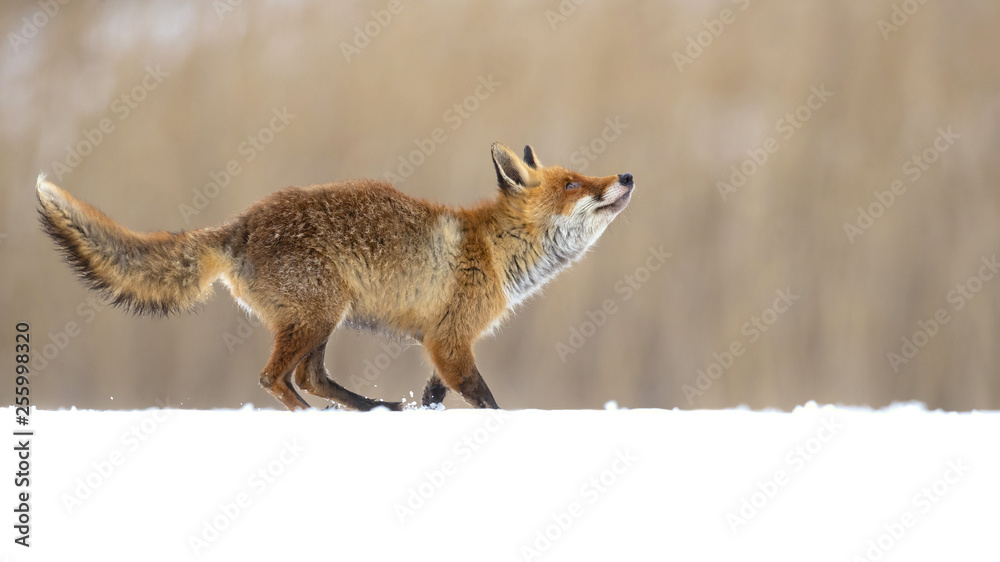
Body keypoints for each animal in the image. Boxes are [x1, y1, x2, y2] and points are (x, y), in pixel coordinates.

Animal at [36, 142, 634, 411]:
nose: (626, 175)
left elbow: (436, 395)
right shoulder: (451, 338)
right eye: (573, 184)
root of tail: (240, 223)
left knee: (310, 377)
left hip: (323, 320)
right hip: (319, 315)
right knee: (277, 379)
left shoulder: (438, 342)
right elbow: (484, 399)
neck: (492, 249)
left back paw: (375, 410)